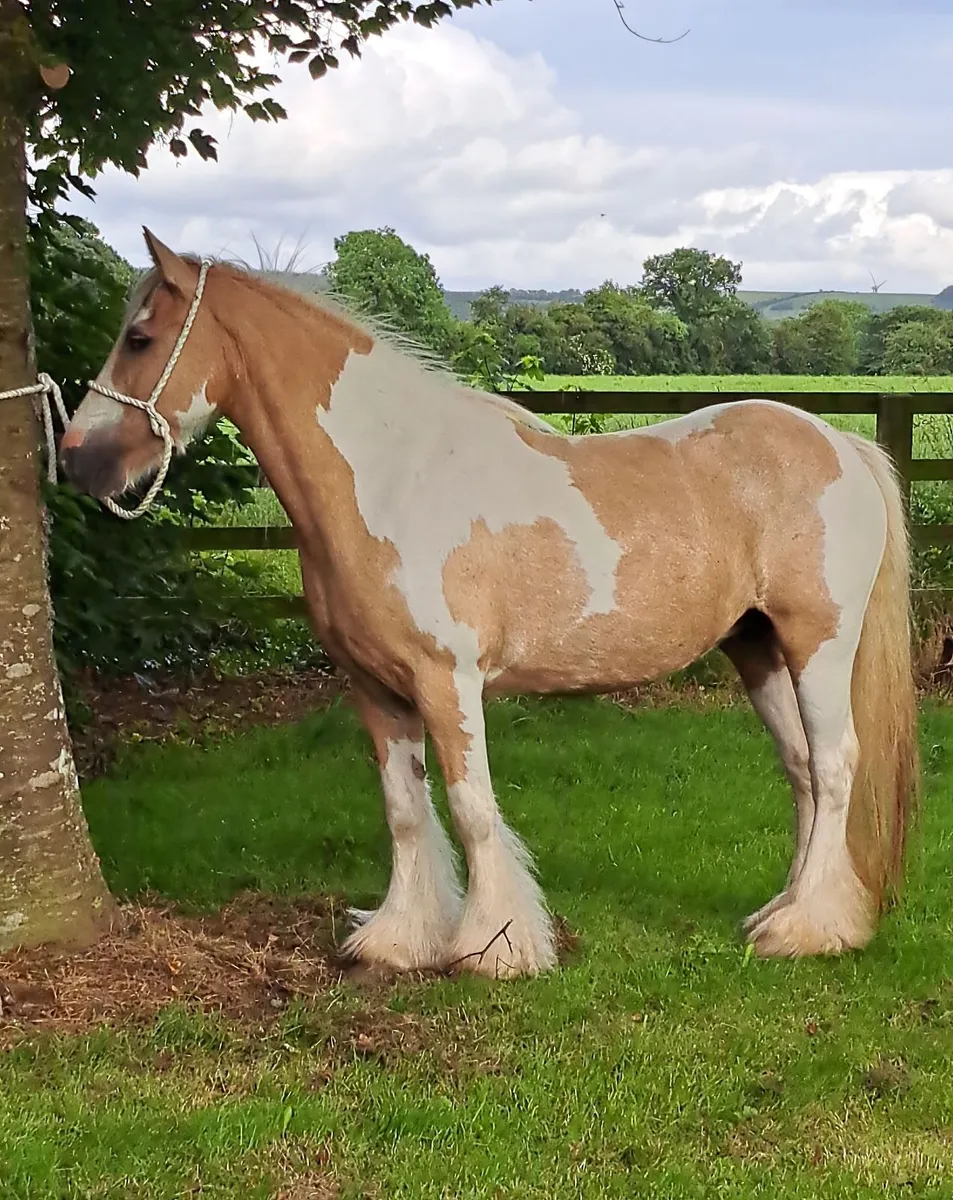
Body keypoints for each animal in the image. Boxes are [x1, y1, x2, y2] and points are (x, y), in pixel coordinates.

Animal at [59, 229, 919, 979]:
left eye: (140, 338)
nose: (76, 460)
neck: (390, 478)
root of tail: (843, 446)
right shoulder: (374, 688)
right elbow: (405, 811)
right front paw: (399, 940)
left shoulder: (446, 681)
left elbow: (471, 808)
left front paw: (494, 949)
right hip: (757, 649)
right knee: (801, 770)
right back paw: (787, 911)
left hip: (817, 645)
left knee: (834, 766)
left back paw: (807, 931)